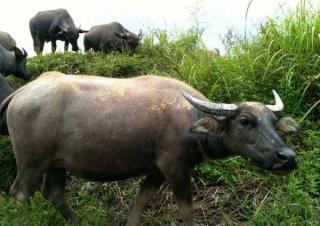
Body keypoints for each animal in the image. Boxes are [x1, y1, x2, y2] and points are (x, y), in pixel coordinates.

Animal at [1, 73, 298, 225]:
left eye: (273, 122)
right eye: (245, 120)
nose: (287, 157)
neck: (191, 120)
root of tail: (22, 91)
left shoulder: (155, 172)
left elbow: (141, 202)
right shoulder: (176, 170)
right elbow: (186, 210)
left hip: (56, 164)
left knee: (54, 194)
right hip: (31, 163)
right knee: (20, 194)